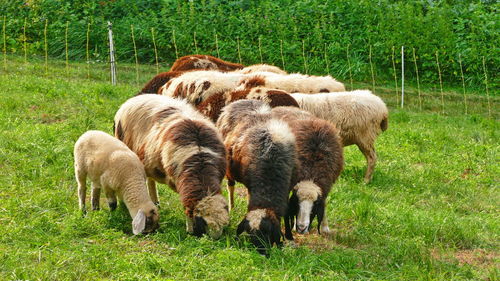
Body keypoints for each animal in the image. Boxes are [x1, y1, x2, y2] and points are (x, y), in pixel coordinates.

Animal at [114, 94, 229, 238]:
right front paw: (189, 230)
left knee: (150, 180)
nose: (215, 239)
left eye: (223, 224)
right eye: (204, 222)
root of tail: (135, 98)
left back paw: (155, 201)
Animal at [216, 99, 296, 255]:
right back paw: (232, 206)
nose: (261, 253)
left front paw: (289, 236)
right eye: (250, 234)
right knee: (231, 186)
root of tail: (242, 101)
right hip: (228, 167)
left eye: (268, 232)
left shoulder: (288, 184)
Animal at [270, 106, 344, 237]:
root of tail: (281, 107)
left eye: (314, 206)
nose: (301, 228)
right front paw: (294, 225)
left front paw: (325, 227)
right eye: (297, 203)